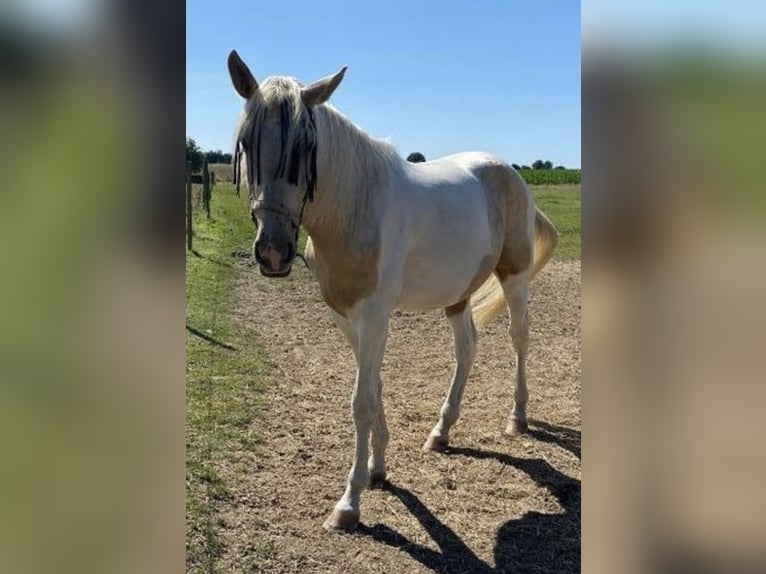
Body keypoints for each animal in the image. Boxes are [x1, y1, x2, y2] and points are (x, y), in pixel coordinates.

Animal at [228, 49, 560, 536]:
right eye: (247, 143)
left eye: (306, 148)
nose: (273, 252)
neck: (355, 209)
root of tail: (508, 173)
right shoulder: (344, 316)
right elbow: (375, 386)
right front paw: (378, 469)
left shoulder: (374, 315)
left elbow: (362, 402)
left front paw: (349, 503)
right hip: (457, 294)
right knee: (467, 348)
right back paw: (441, 432)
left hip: (514, 277)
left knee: (520, 338)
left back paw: (517, 418)